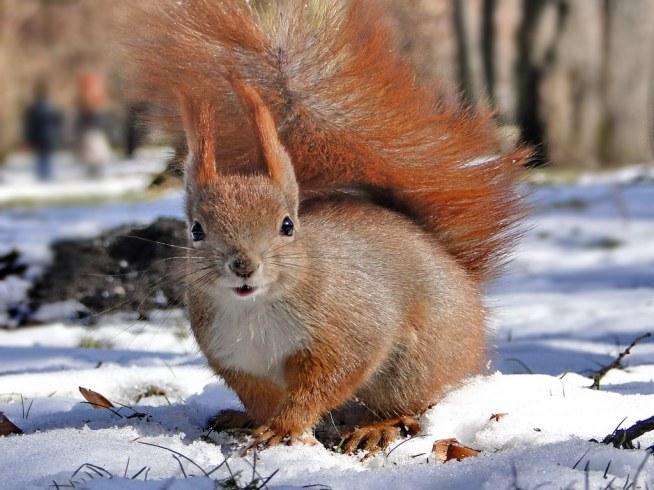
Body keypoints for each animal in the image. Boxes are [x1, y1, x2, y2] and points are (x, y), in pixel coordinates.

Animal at [128, 0, 528, 453]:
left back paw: (378, 426)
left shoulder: (349, 329)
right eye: (196, 230)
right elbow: (262, 398)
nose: (243, 265)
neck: (254, 309)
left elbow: (329, 380)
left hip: (411, 366)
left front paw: (285, 427)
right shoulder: (237, 361)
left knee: (413, 405)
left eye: (287, 225)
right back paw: (240, 417)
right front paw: (262, 423)